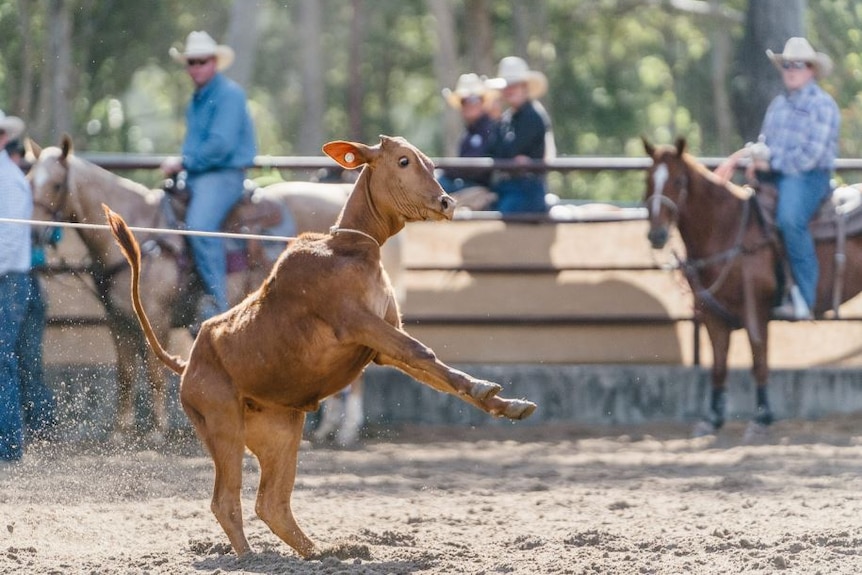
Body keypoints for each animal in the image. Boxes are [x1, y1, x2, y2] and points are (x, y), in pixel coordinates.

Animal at [27, 135, 402, 446]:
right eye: (30, 180)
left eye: (56, 184)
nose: (33, 235)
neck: (144, 234)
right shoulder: (118, 321)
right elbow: (126, 376)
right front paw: (121, 432)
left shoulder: (157, 317)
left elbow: (154, 375)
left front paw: (157, 431)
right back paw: (327, 428)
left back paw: (347, 430)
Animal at [103, 136, 540, 560]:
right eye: (403, 161)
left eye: (430, 164)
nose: (447, 202)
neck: (351, 249)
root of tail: (187, 363)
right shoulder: (361, 323)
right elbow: (422, 353)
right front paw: (488, 389)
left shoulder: (382, 342)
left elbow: (430, 368)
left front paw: (508, 404)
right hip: (222, 423)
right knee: (226, 500)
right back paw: (252, 557)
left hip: (280, 430)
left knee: (271, 503)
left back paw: (323, 551)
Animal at [644, 137, 862, 438]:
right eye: (648, 179)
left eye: (678, 180)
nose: (657, 235)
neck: (727, 229)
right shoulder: (712, 315)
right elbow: (719, 366)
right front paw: (712, 419)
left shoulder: (756, 311)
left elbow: (759, 361)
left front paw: (761, 418)